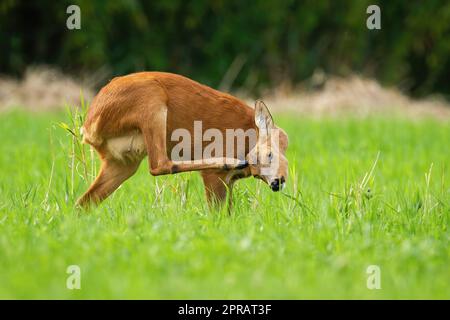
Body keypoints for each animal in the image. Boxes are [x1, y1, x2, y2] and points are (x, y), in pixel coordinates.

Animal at [76, 71, 288, 209]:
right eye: (269, 154)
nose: (278, 182)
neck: (247, 136)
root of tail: (88, 126)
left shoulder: (229, 182)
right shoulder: (215, 177)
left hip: (122, 161)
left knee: (83, 202)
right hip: (151, 101)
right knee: (160, 165)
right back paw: (229, 161)